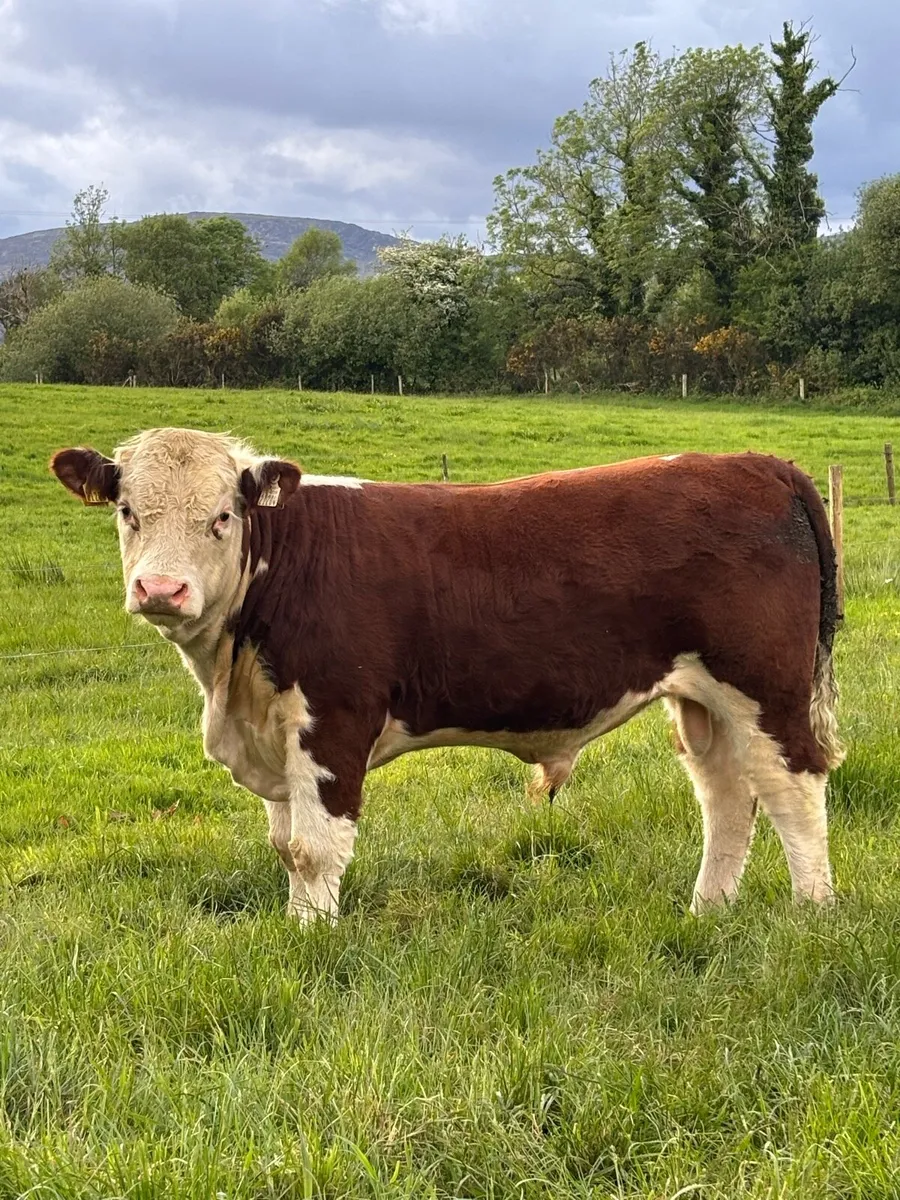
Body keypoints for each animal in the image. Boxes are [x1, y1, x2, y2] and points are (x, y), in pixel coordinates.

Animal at [50, 429, 843, 922]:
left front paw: (310, 940)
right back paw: (707, 911)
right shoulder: (273, 728)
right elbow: (285, 847)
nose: (161, 589)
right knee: (727, 795)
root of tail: (757, 463)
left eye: (221, 516)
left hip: (764, 687)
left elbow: (314, 848)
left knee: (793, 788)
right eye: (127, 511)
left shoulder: (334, 718)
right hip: (703, 699)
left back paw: (812, 913)